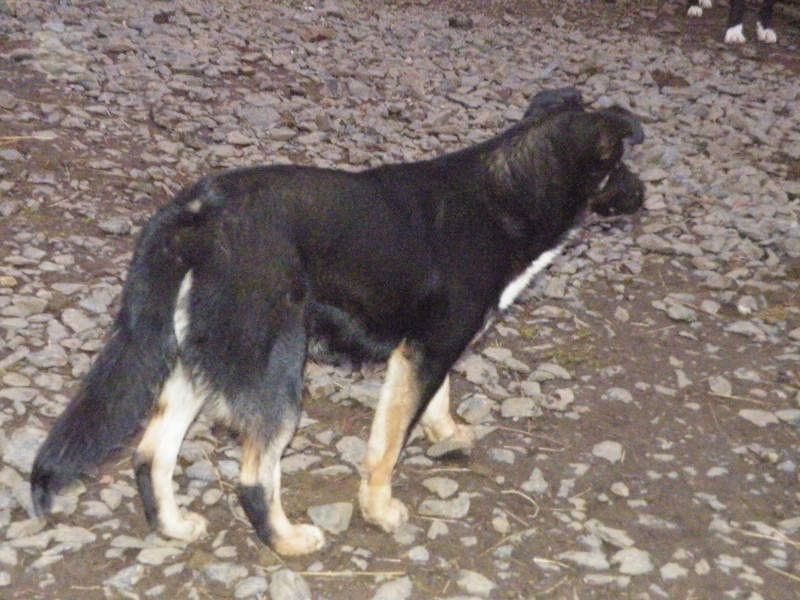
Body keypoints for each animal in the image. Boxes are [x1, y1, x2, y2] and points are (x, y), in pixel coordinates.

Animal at [31, 89, 648, 556]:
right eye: (620, 163)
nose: (645, 195)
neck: (509, 191)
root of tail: (194, 212)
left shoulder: (427, 347)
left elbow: (440, 396)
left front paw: (446, 433)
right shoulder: (426, 349)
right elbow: (386, 446)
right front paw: (379, 509)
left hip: (197, 356)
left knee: (149, 454)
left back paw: (174, 527)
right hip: (276, 369)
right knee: (253, 478)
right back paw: (287, 542)